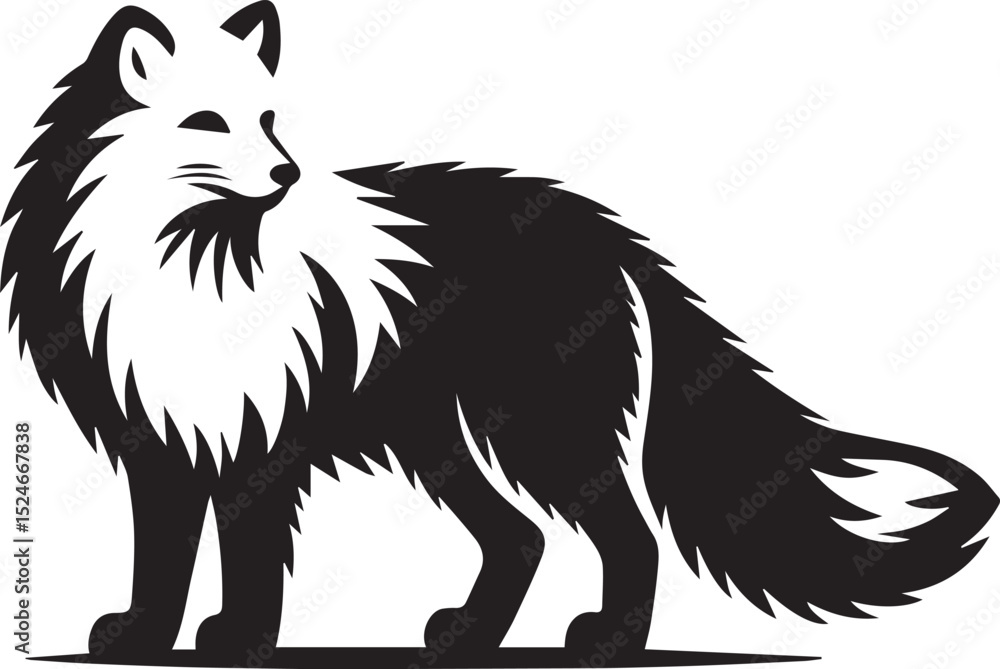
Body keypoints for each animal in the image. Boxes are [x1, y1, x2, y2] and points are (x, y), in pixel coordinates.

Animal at [2, 1, 997, 662]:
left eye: (272, 121)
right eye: (208, 123)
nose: (287, 174)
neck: (185, 261)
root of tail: (604, 231)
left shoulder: (262, 438)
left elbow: (247, 557)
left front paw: (236, 640)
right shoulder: (161, 438)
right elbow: (161, 557)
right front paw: (140, 636)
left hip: (535, 433)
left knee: (624, 535)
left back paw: (604, 641)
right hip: (445, 435)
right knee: (522, 539)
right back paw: (471, 634)